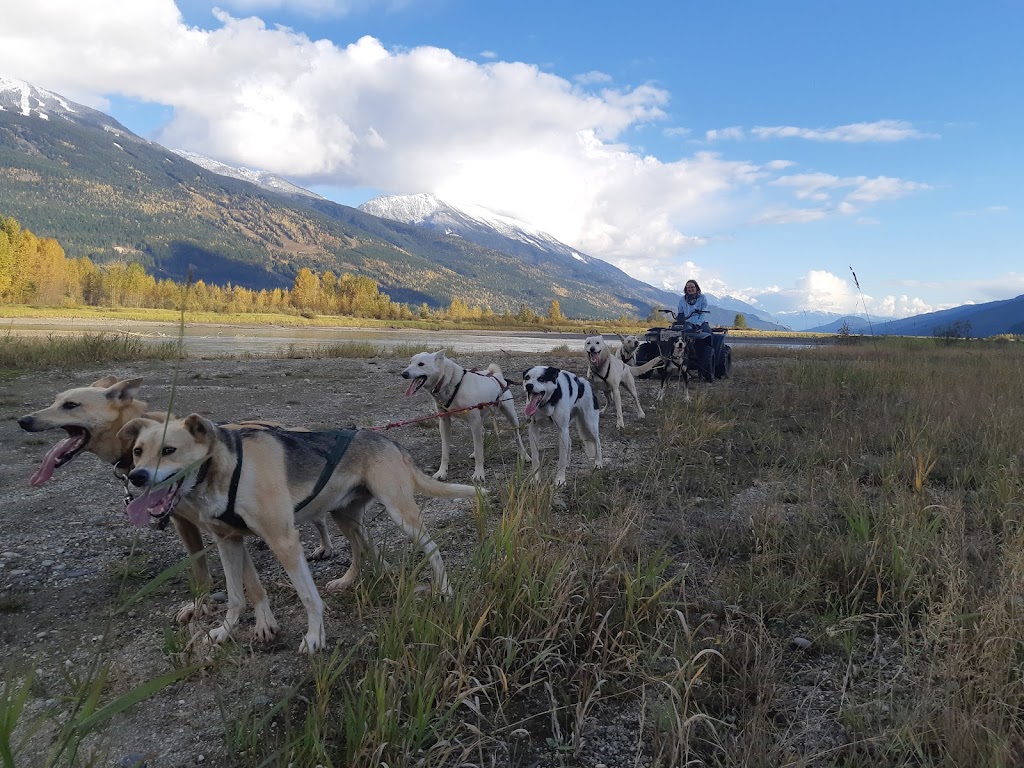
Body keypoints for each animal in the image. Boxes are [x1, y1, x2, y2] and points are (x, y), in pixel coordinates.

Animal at [399, 350, 528, 481]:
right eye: (410, 362)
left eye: (421, 364)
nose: (404, 373)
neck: (451, 382)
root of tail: (495, 375)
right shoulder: (444, 421)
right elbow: (445, 452)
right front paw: (442, 471)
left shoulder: (474, 421)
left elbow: (479, 451)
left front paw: (479, 473)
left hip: (511, 416)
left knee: (517, 436)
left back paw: (525, 455)